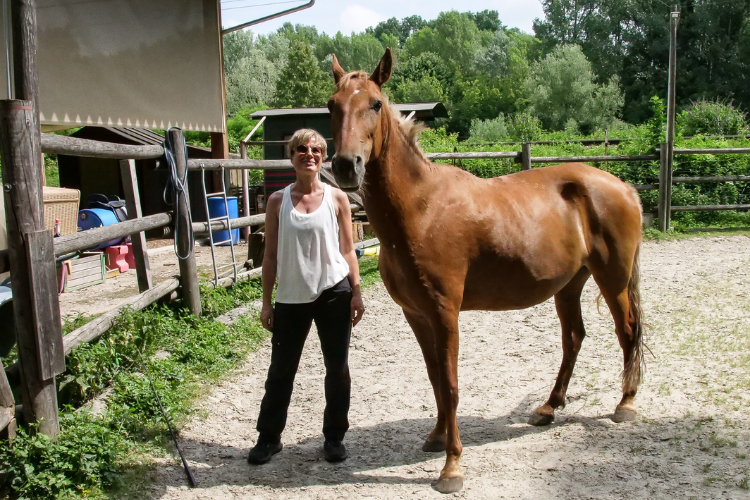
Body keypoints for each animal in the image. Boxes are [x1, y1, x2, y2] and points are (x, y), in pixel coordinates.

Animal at [328, 48, 648, 494]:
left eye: (375, 104)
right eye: (332, 105)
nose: (345, 165)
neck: (420, 208)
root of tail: (621, 186)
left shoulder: (445, 313)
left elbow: (450, 384)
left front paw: (452, 467)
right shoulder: (416, 315)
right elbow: (434, 378)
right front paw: (437, 437)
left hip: (612, 279)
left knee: (627, 331)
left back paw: (626, 403)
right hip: (570, 285)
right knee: (573, 339)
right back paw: (549, 408)